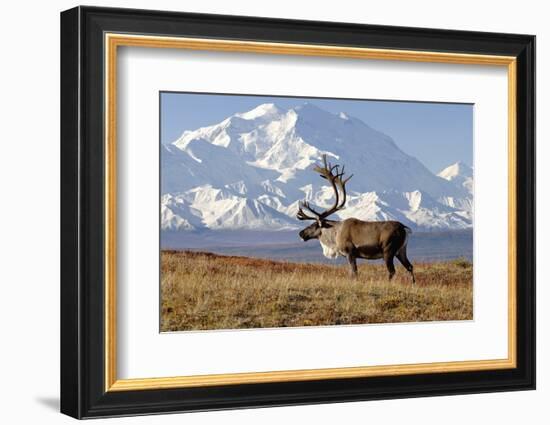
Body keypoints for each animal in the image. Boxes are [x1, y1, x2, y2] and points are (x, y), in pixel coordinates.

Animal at [300, 154, 416, 284]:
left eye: (314, 224)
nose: (301, 233)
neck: (335, 234)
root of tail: (404, 228)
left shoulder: (350, 253)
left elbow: (354, 273)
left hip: (388, 251)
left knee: (392, 271)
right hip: (401, 250)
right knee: (410, 266)